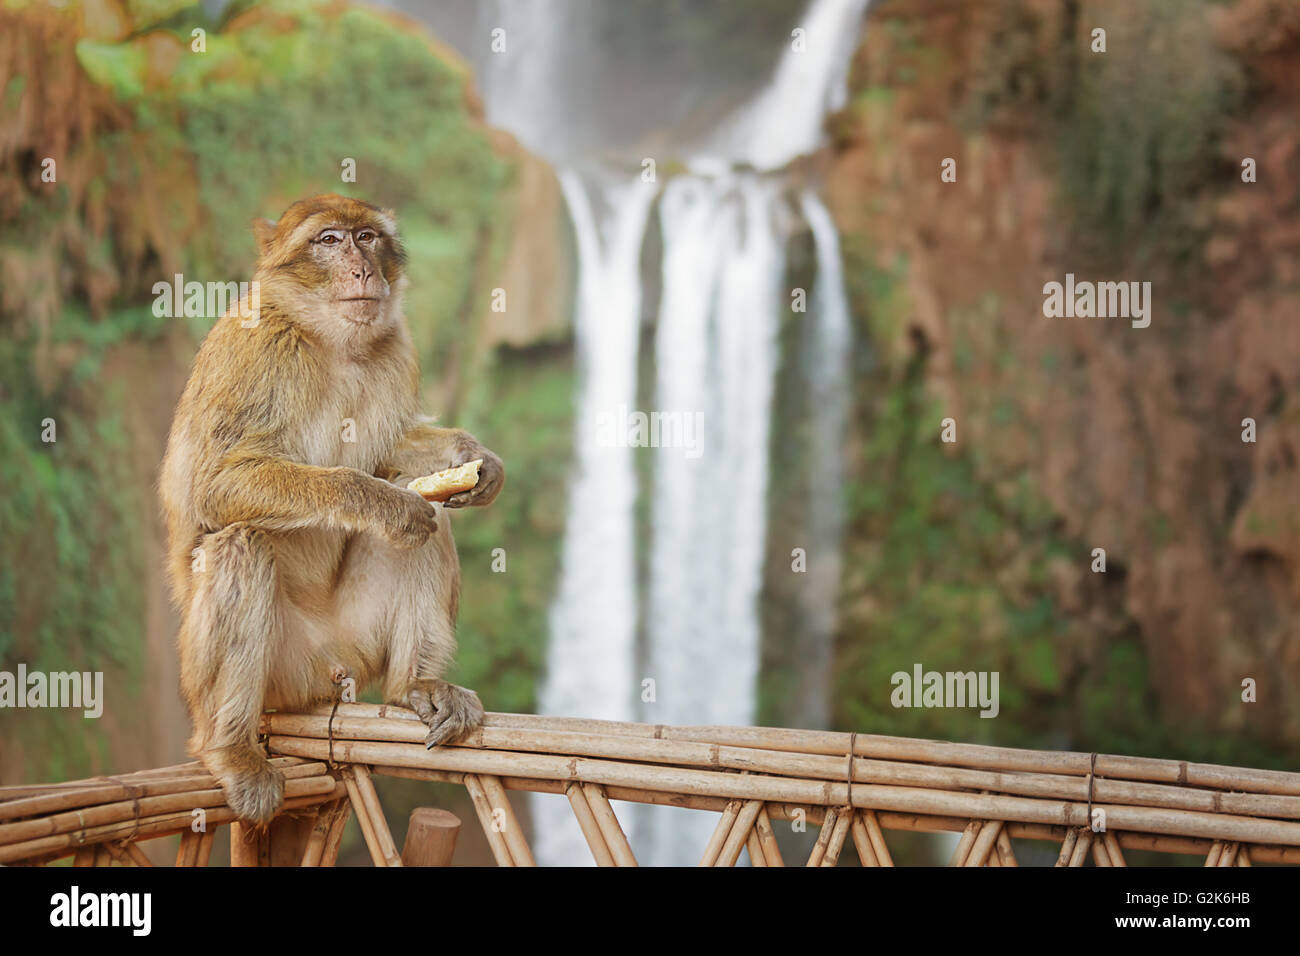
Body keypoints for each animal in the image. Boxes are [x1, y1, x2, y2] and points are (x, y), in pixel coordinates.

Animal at [159, 194, 504, 824]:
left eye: (366, 236)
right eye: (328, 241)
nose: (362, 269)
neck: (327, 340)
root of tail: (331, 669)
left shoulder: (398, 348)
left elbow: (394, 449)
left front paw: (474, 459)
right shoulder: (256, 350)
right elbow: (215, 485)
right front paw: (381, 502)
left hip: (357, 640)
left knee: (435, 520)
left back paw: (415, 687)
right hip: (276, 672)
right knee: (240, 544)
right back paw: (231, 750)